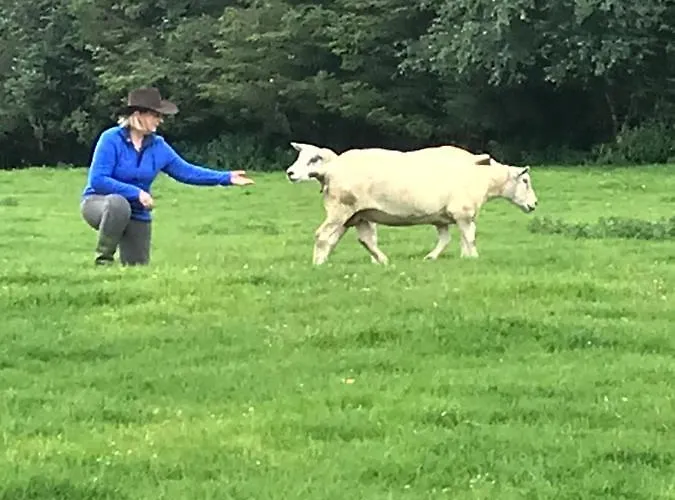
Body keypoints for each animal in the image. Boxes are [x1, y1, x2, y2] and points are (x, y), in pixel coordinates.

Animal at [302, 147, 538, 265]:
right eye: (525, 181)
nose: (534, 204)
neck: (484, 178)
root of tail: (328, 170)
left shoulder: (444, 217)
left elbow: (448, 239)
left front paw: (435, 258)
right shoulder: (463, 212)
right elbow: (469, 237)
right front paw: (473, 258)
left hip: (357, 214)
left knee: (358, 239)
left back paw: (379, 260)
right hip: (341, 208)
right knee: (323, 235)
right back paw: (318, 264)